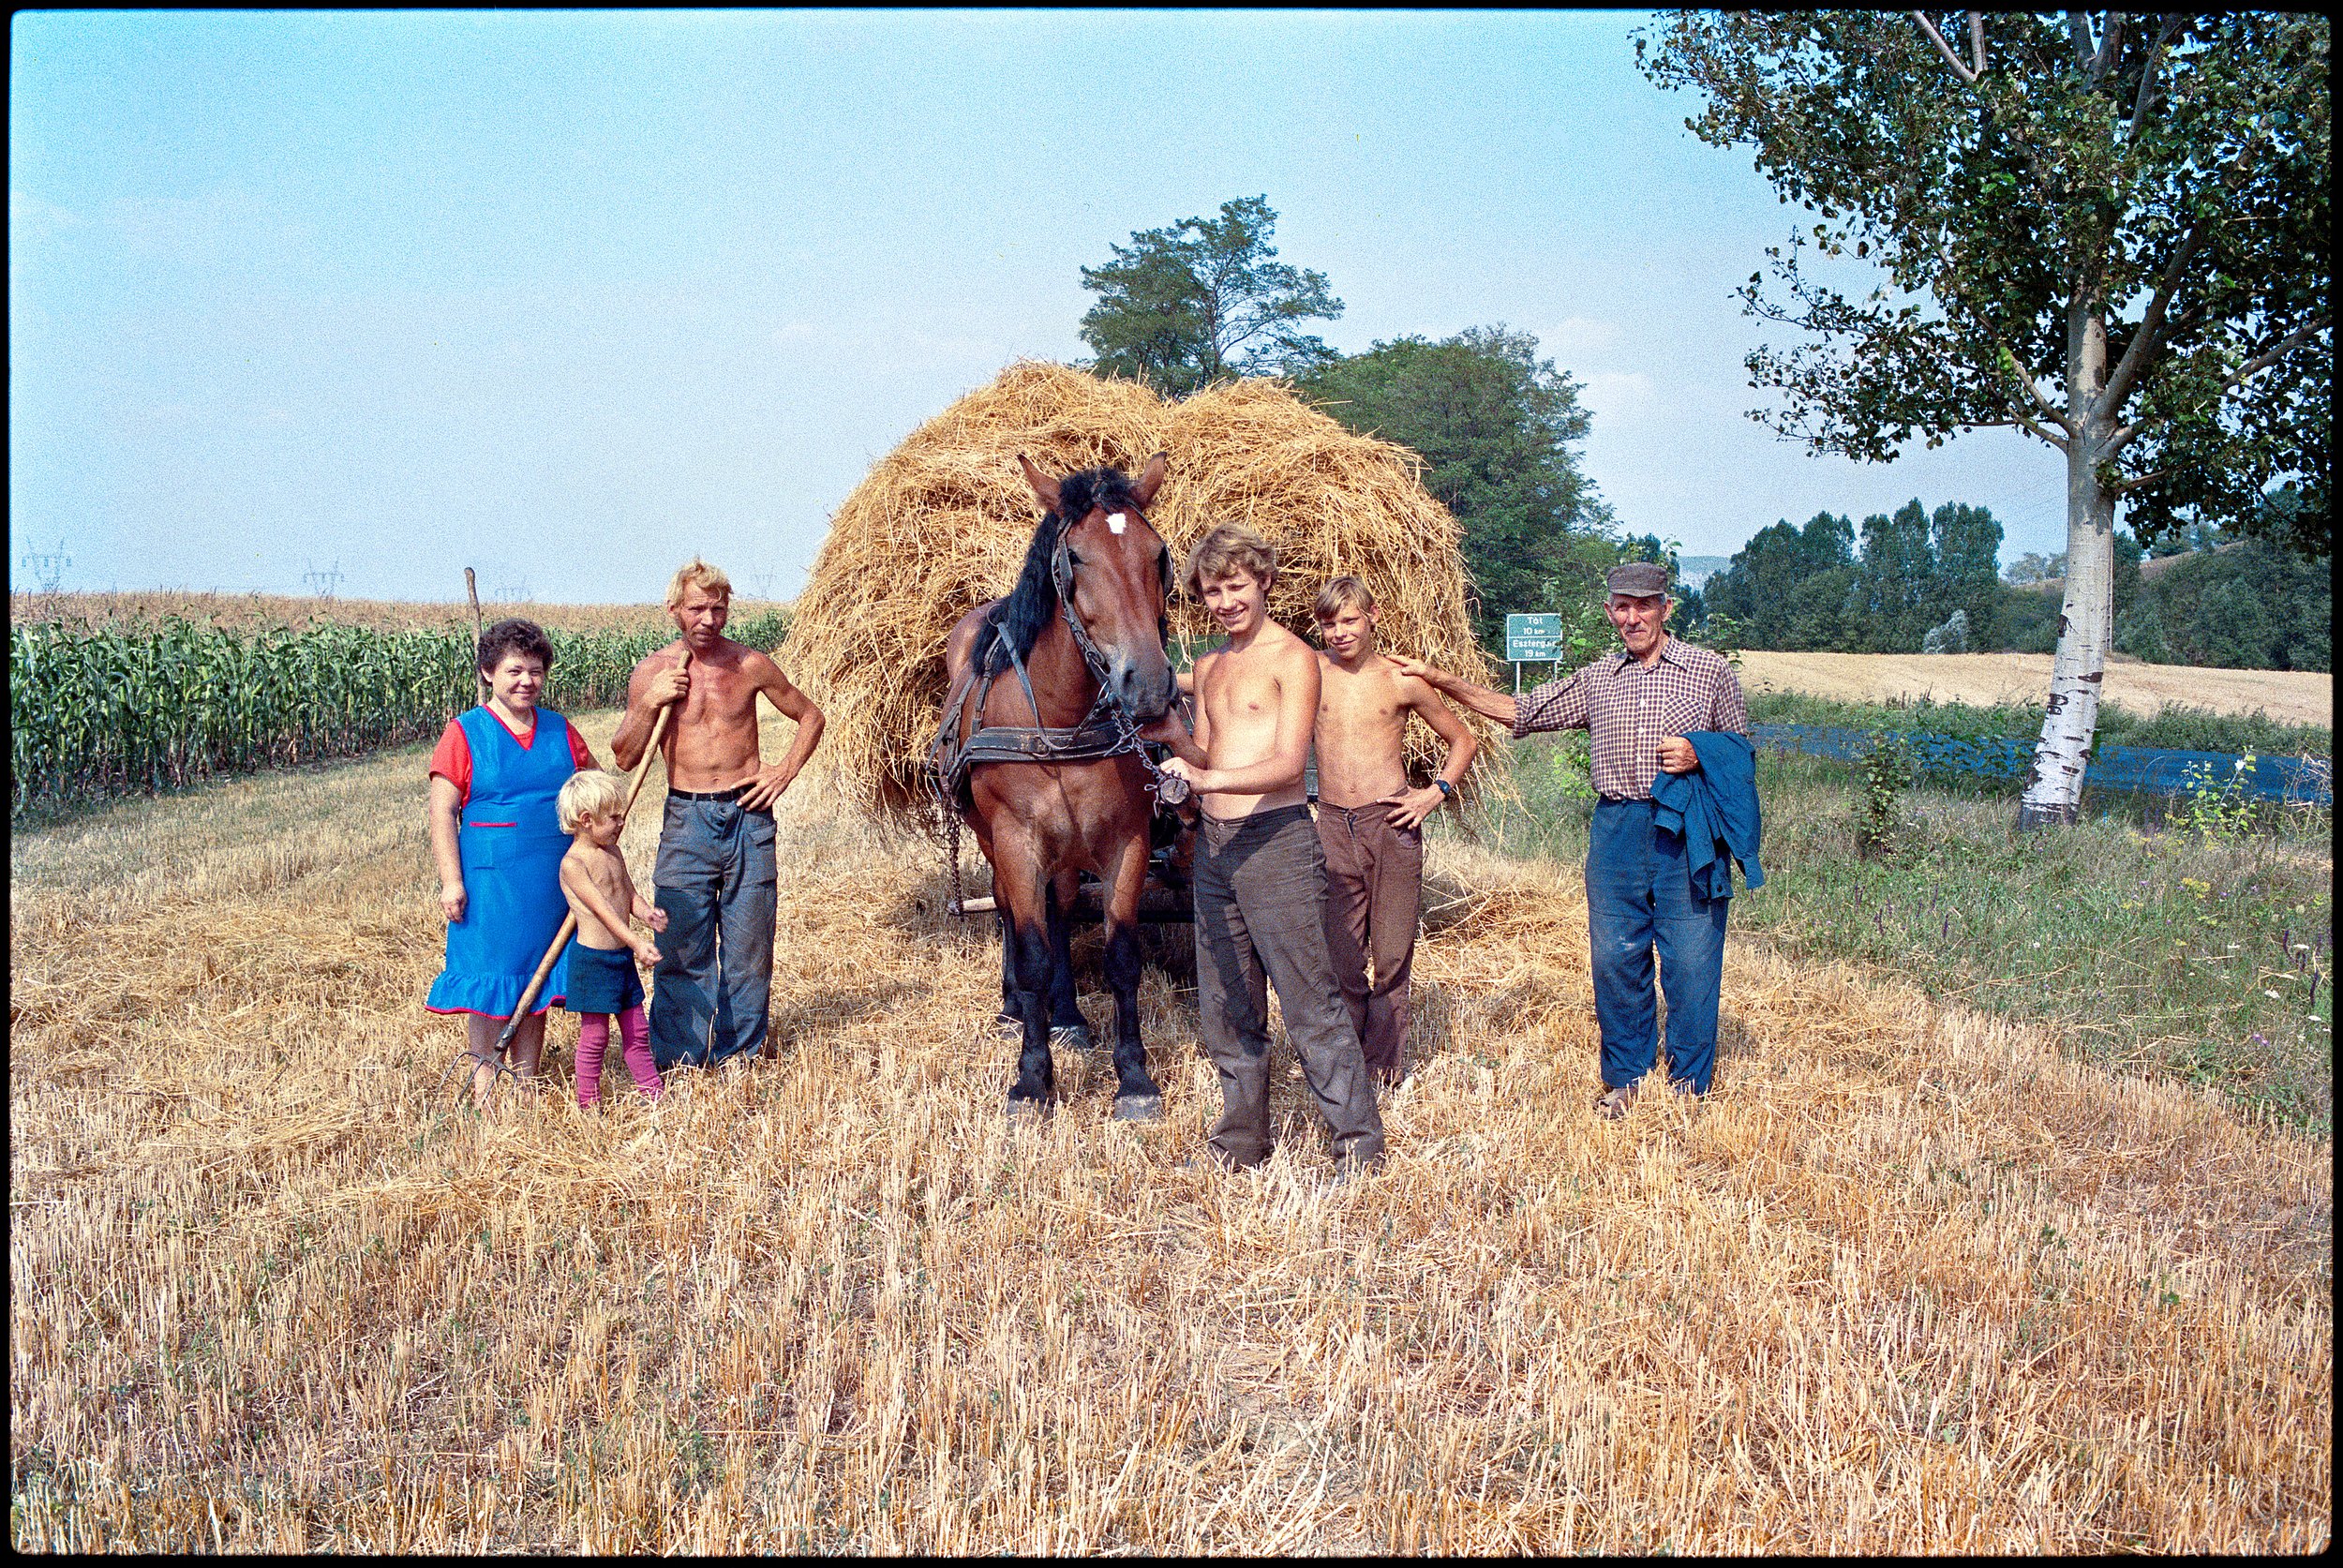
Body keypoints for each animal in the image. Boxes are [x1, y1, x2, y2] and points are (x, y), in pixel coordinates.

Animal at [937, 450, 1181, 1111]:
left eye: (1158, 553)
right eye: (1075, 557)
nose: (1150, 685)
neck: (1060, 717)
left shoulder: (1126, 842)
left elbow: (1120, 956)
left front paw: (1134, 1078)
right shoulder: (1017, 843)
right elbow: (1032, 952)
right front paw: (1031, 1079)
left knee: (1060, 911)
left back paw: (1067, 1016)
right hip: (994, 842)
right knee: (1010, 914)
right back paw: (1014, 1009)